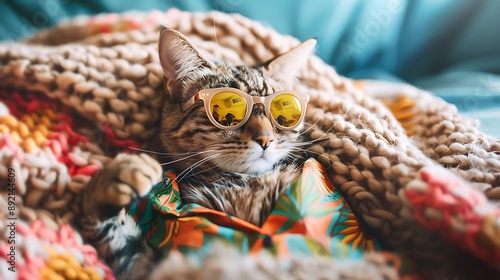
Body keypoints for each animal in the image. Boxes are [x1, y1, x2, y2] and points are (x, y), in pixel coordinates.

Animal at [78, 27, 316, 278]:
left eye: (282, 113)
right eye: (229, 114)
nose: (265, 139)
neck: (247, 184)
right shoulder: (151, 261)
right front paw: (119, 174)